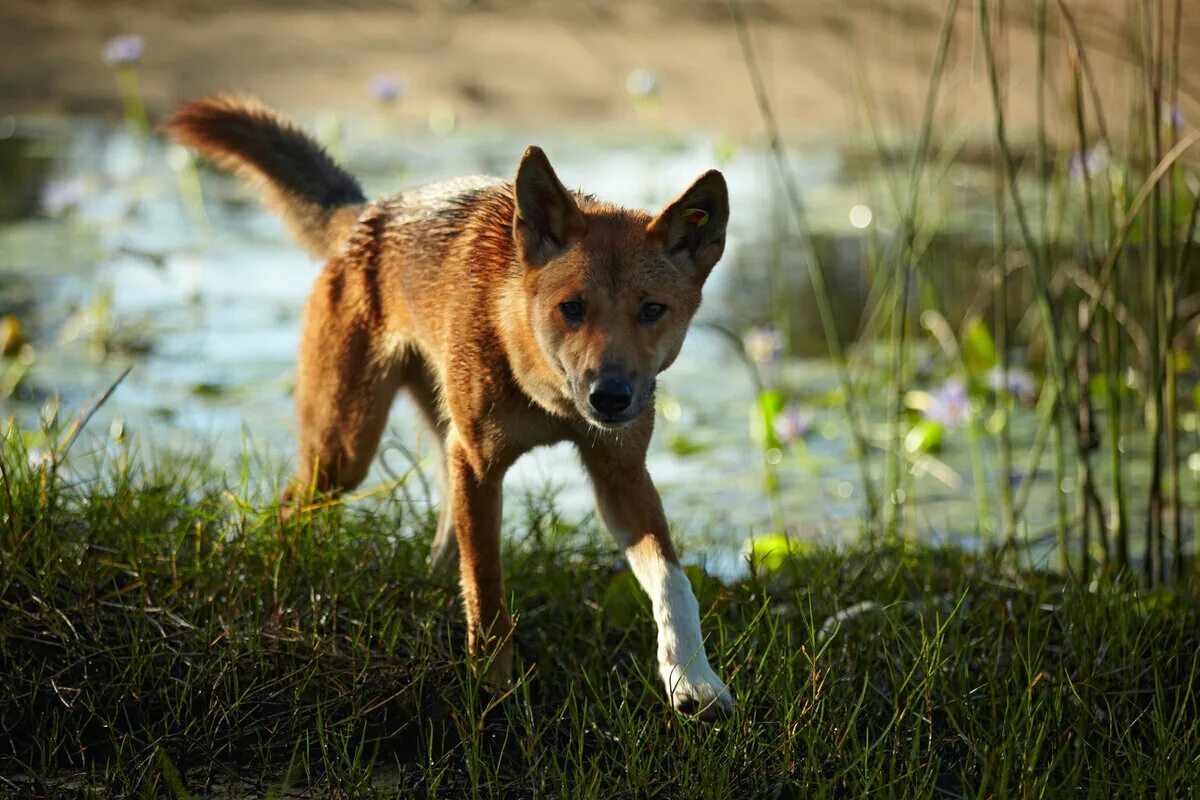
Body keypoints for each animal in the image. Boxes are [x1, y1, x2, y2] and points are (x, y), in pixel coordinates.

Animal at [166, 95, 729, 719]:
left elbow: (674, 584)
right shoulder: (481, 467)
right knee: (291, 509)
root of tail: (366, 213)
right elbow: (486, 590)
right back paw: (275, 575)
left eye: (652, 310)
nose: (609, 396)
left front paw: (693, 679)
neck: (548, 399)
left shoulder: (621, 473)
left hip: (434, 437)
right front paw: (494, 691)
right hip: (346, 450)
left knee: (440, 523)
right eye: (573, 308)